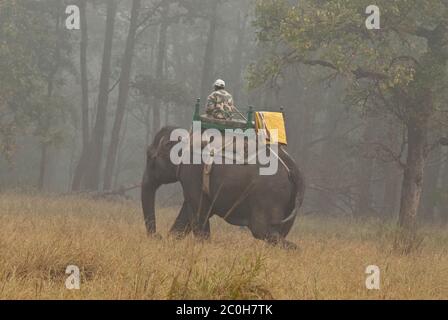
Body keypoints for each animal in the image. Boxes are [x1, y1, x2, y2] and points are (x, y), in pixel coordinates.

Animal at [142, 126, 306, 249]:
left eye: (151, 157)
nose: (158, 236)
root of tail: (293, 167)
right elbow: (186, 215)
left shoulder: (191, 173)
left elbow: (199, 212)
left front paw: (203, 247)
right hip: (289, 200)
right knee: (279, 231)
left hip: (268, 194)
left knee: (262, 230)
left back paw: (295, 251)